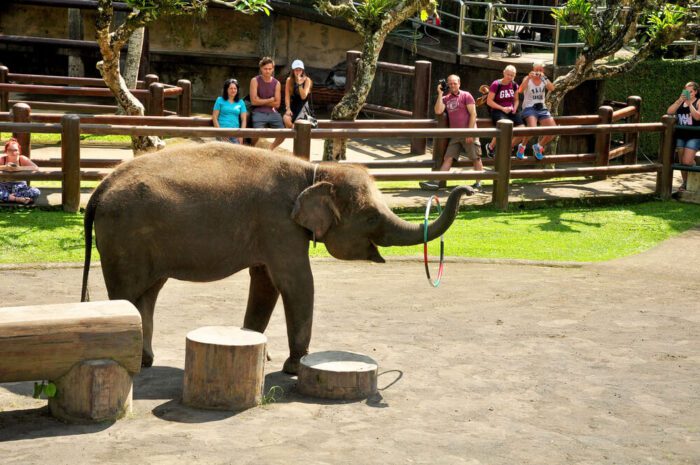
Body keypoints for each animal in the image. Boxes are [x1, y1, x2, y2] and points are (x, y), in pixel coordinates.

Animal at [81, 142, 473, 374]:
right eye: (371, 217)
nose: (467, 187)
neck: (315, 171)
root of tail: (100, 188)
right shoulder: (279, 225)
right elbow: (296, 283)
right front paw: (294, 368)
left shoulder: (270, 232)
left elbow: (265, 285)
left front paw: (257, 351)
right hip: (122, 237)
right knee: (127, 295)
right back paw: (132, 367)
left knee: (148, 294)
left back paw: (146, 361)